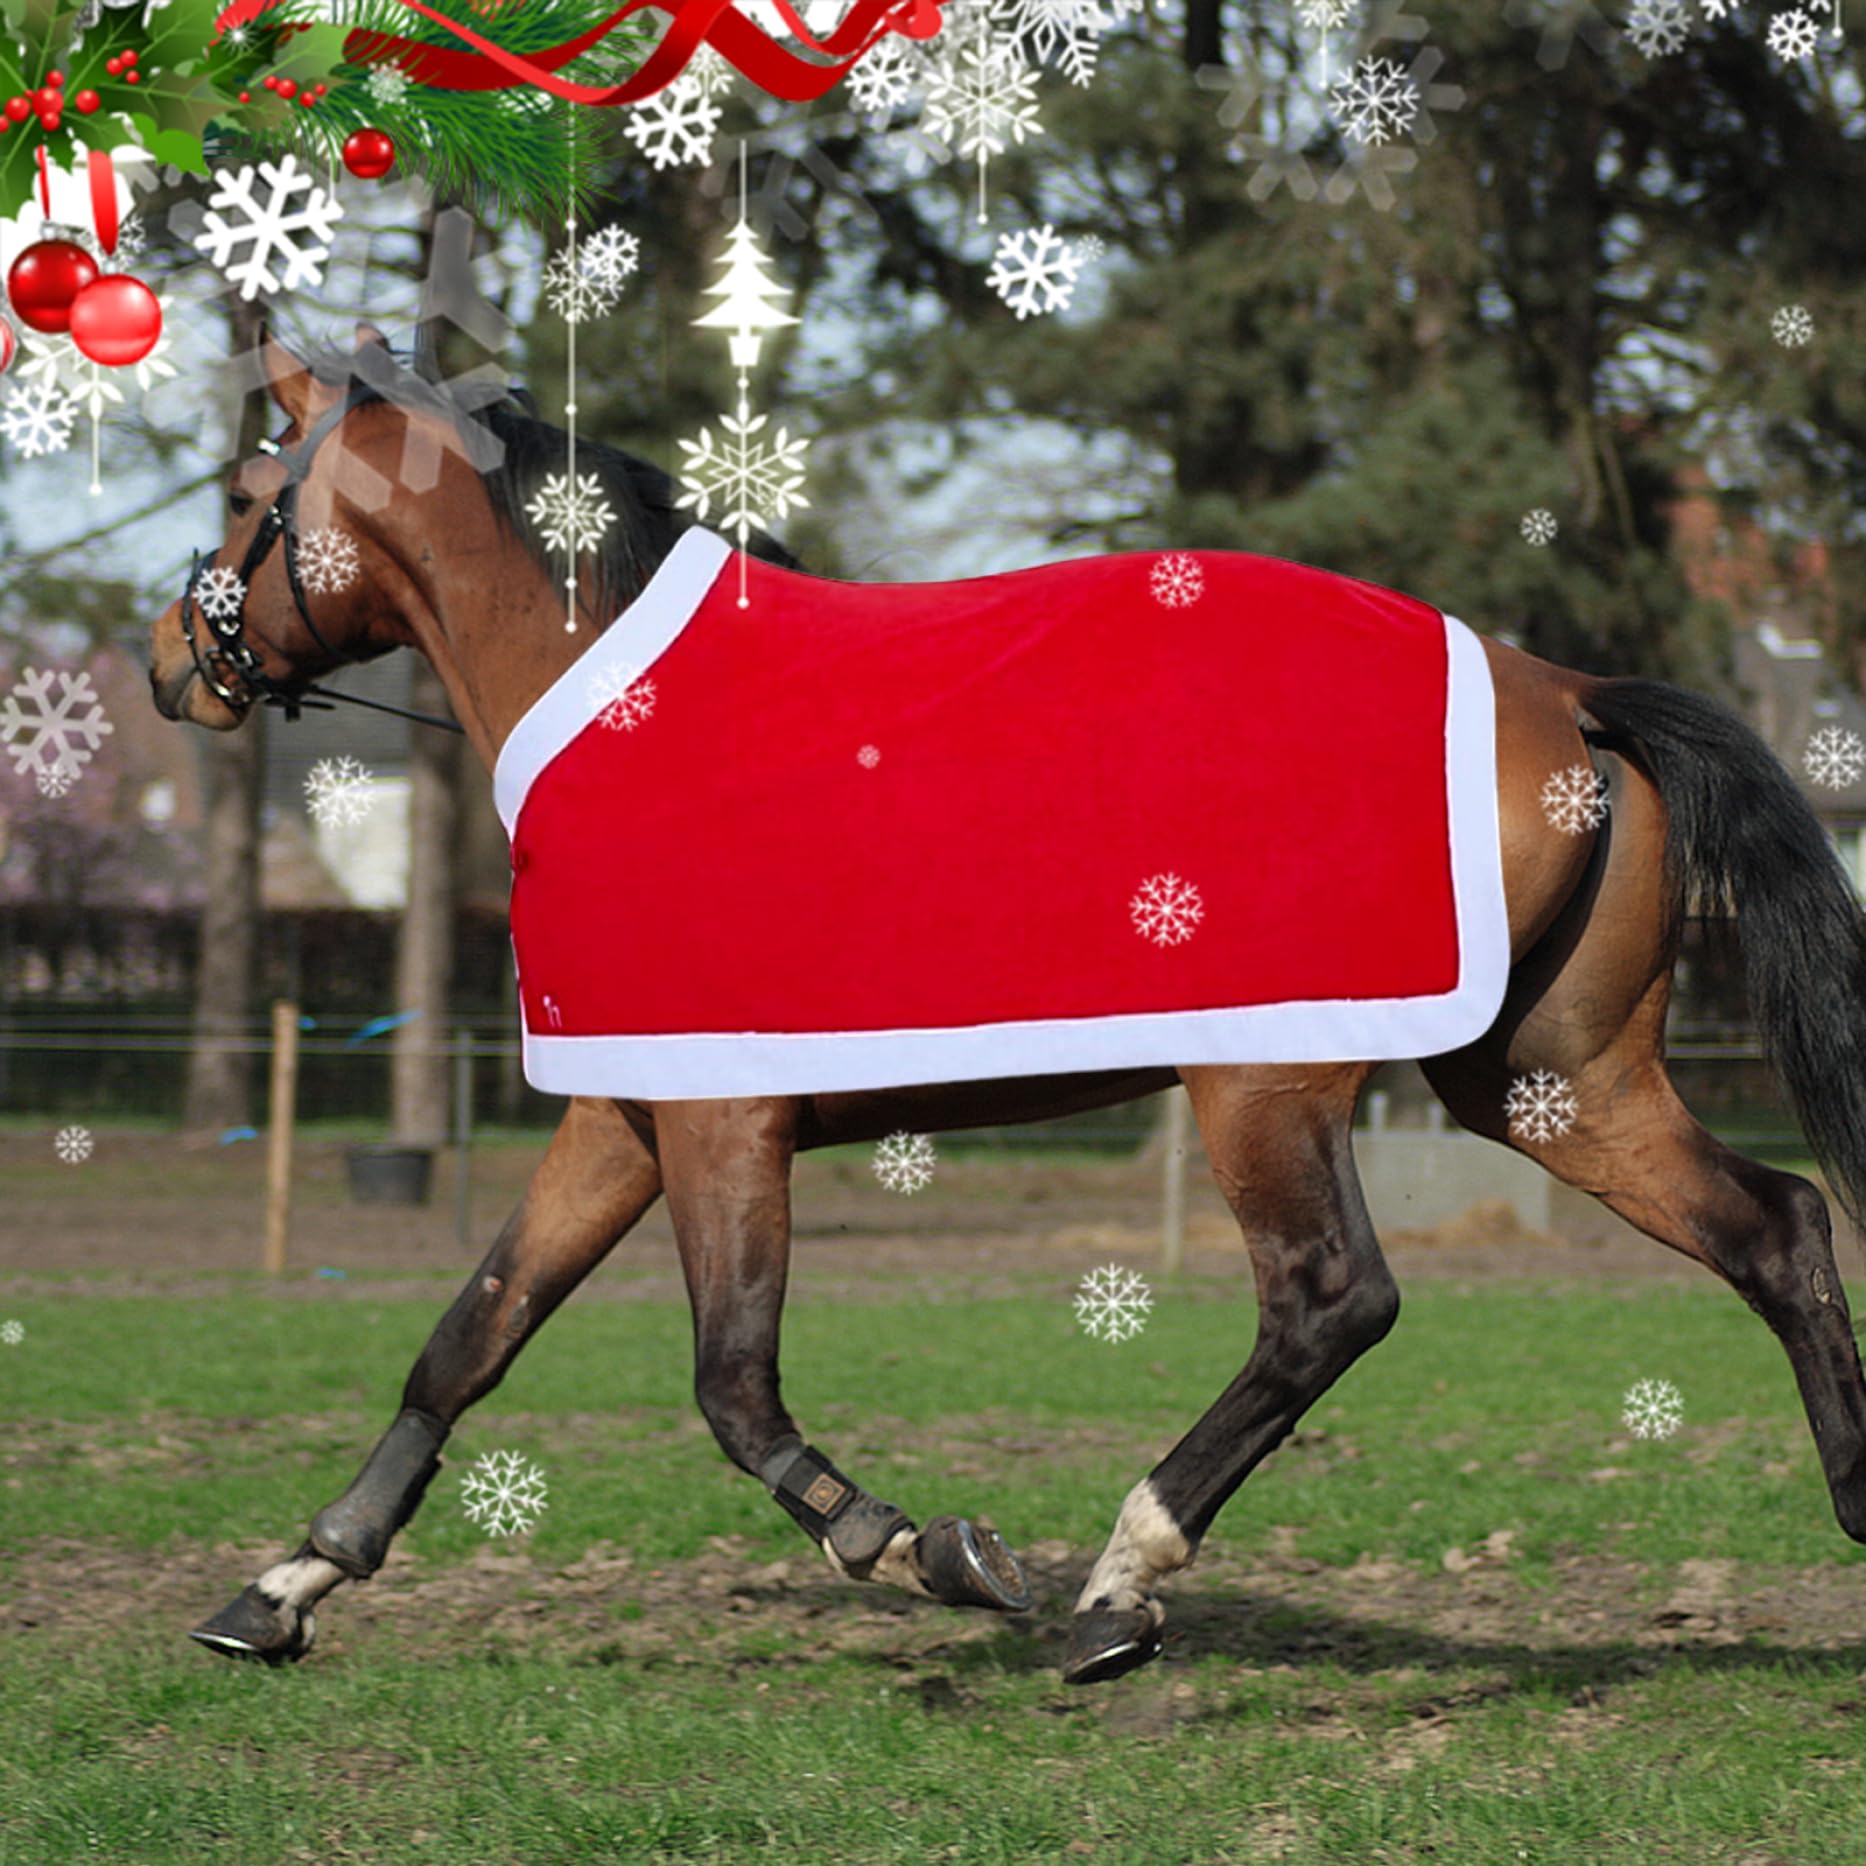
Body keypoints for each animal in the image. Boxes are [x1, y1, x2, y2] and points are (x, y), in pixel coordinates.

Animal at [147, 323, 1866, 1686]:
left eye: (240, 494)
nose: (170, 659)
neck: (617, 705)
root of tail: (1561, 689)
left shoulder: (721, 1122)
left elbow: (732, 1387)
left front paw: (931, 1550)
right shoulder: (623, 1115)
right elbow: (468, 1339)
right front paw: (284, 1585)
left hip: (1267, 1081)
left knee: (1329, 1301)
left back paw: (1116, 1587)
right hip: (1547, 1077)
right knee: (1772, 1225)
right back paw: (1853, 1498)